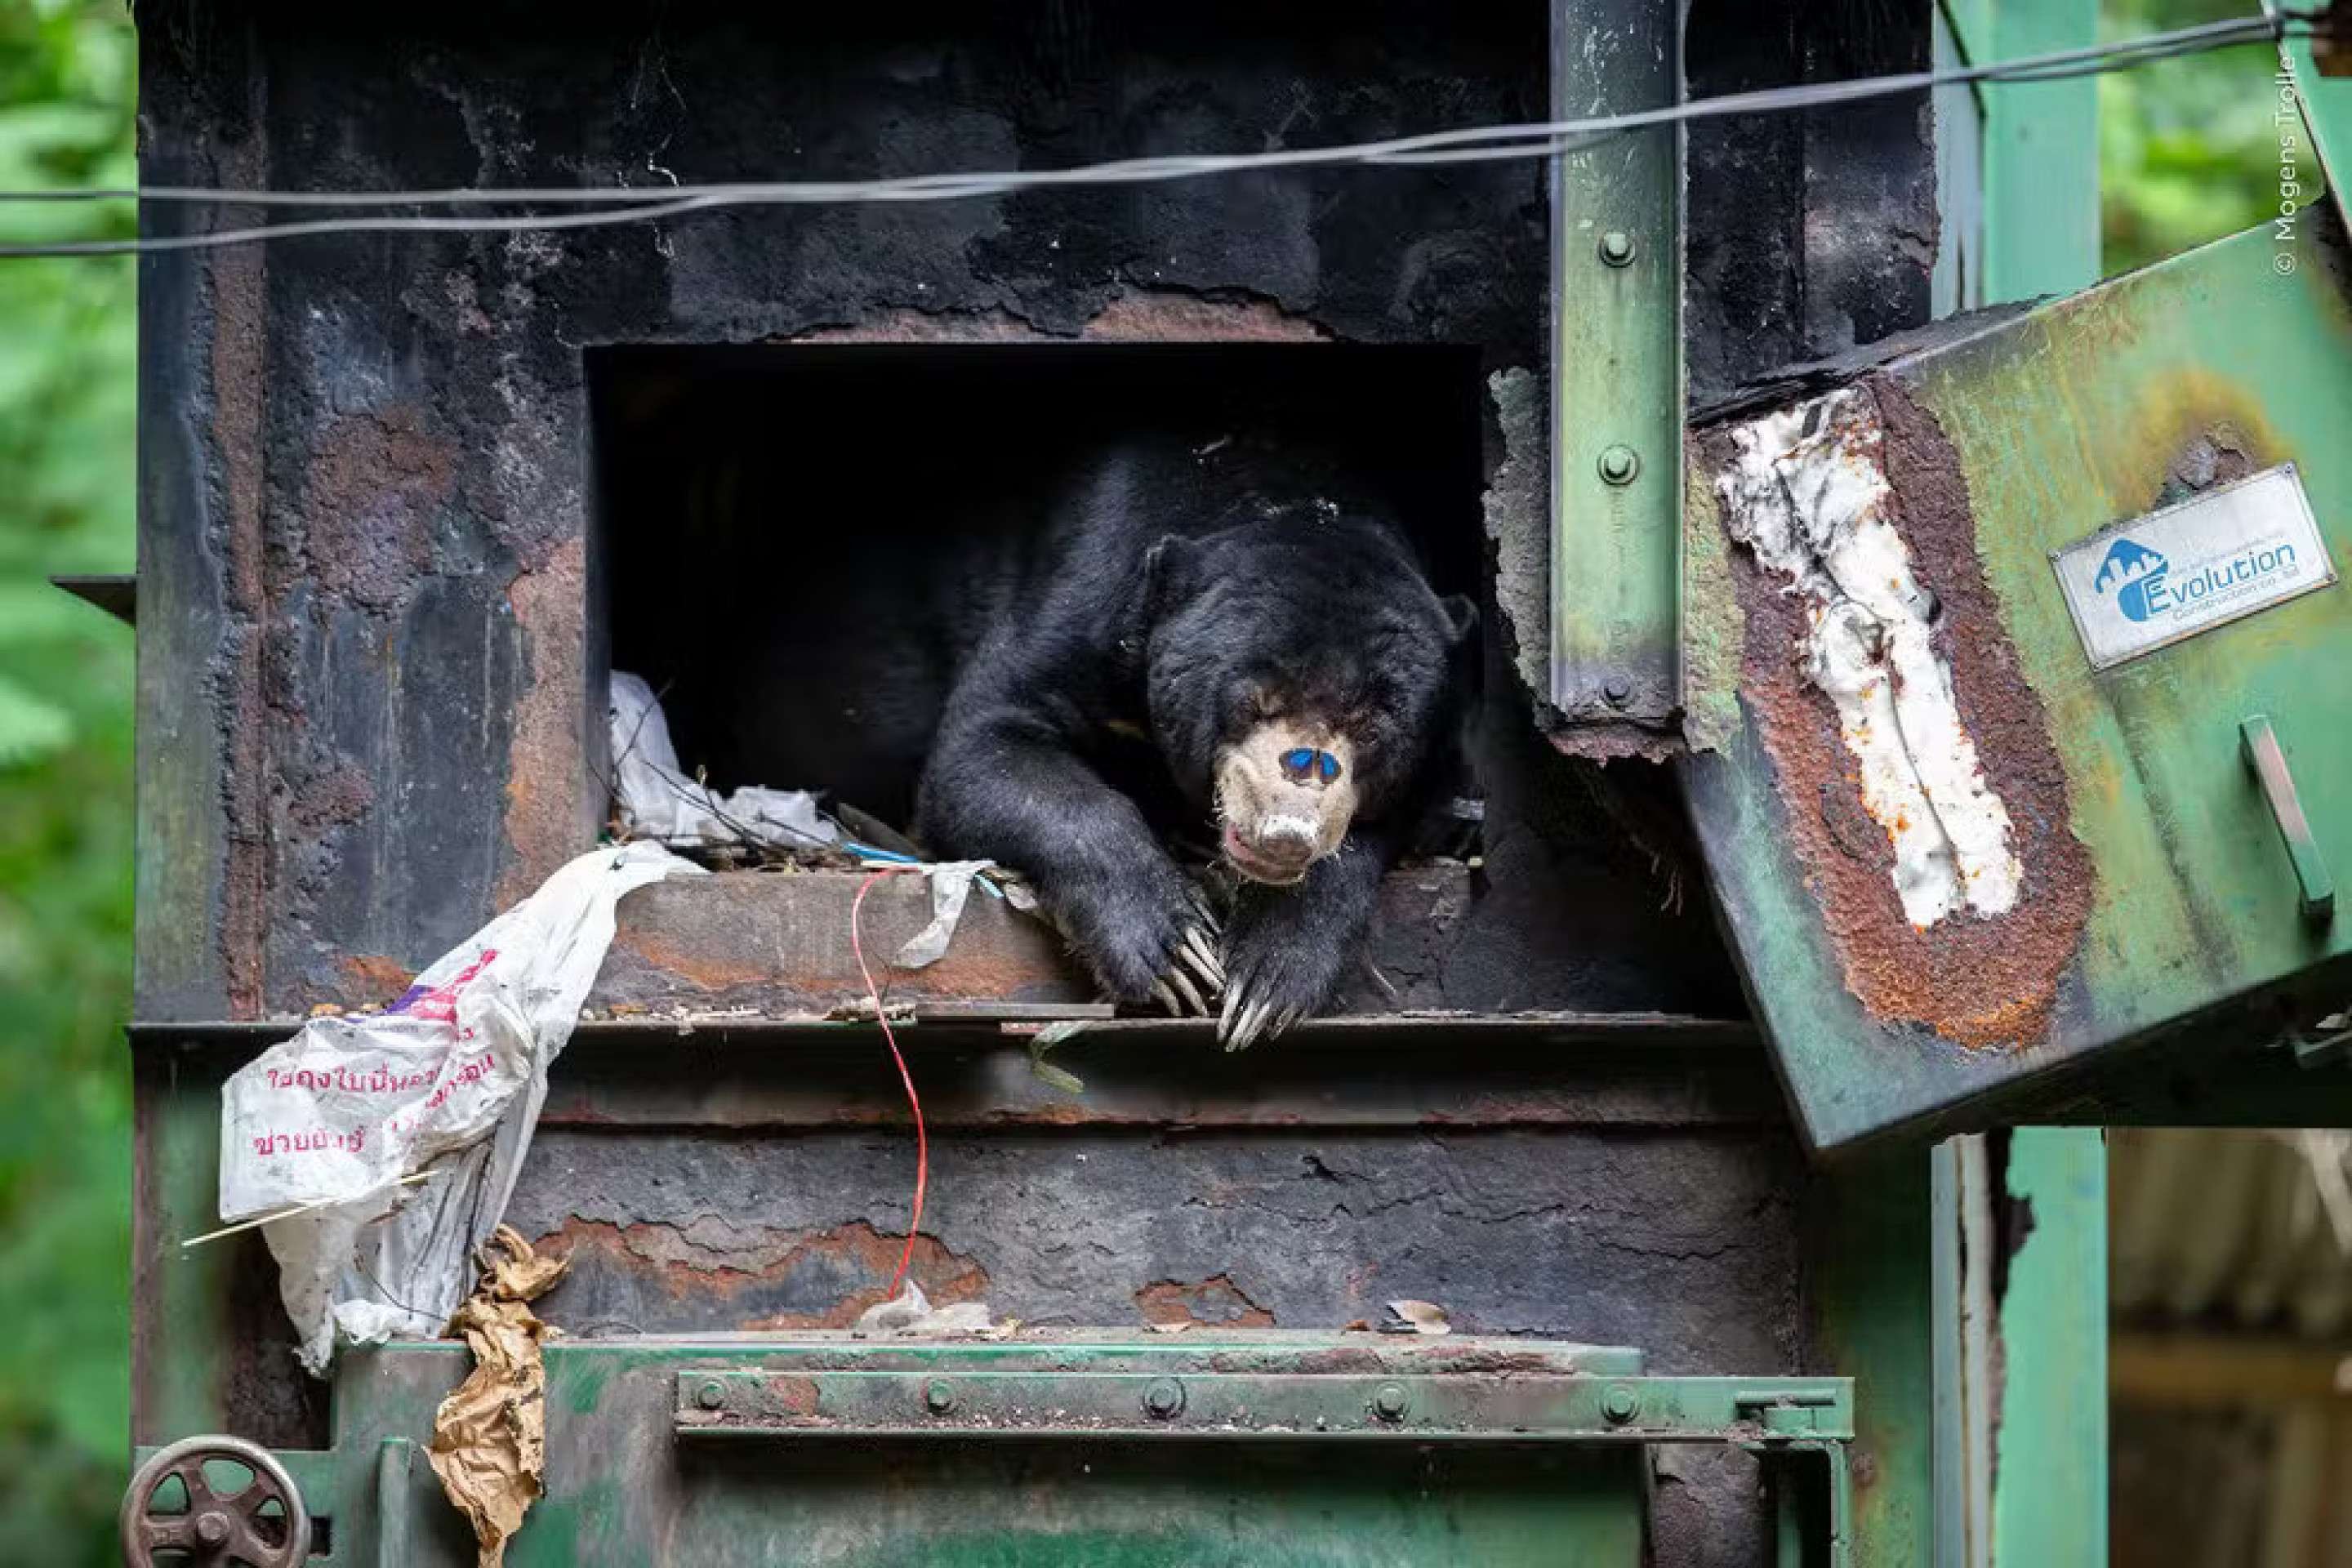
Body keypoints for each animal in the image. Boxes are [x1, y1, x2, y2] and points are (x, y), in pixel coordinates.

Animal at [909, 432, 1475, 1049]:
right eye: (1256, 701)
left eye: (1371, 728)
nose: (1287, 834)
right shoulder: (1090, 599)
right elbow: (984, 742)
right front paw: (1176, 955)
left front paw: (1267, 982)